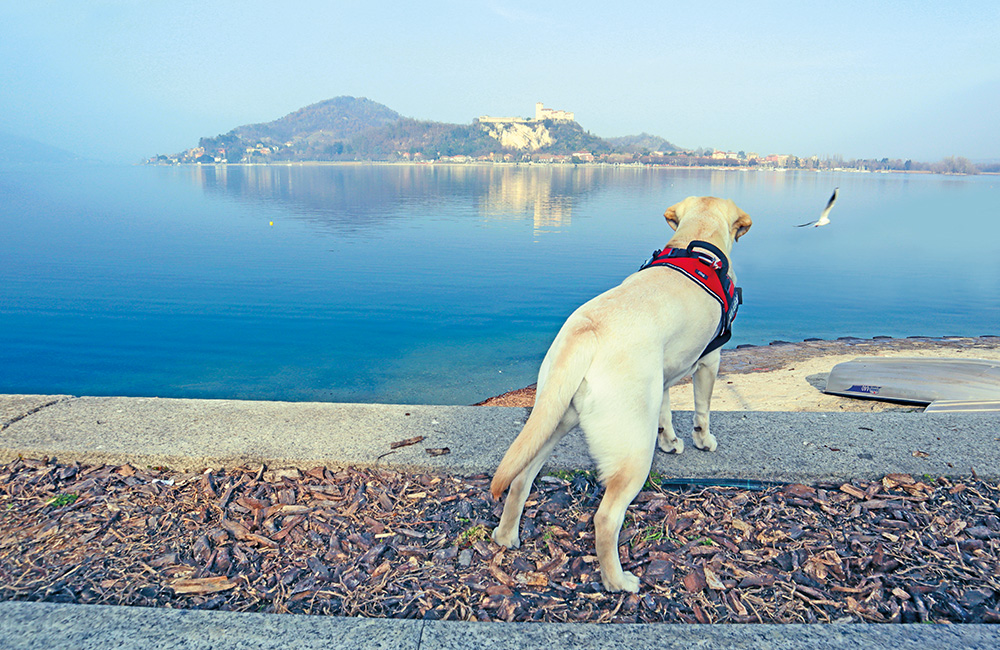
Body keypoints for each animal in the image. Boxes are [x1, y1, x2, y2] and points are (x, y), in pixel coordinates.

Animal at [492, 195, 752, 588]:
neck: (697, 242)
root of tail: (587, 332)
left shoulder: (661, 377)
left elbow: (665, 412)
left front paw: (670, 441)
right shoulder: (710, 360)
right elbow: (702, 409)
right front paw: (703, 441)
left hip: (553, 418)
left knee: (521, 478)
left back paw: (507, 536)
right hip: (633, 452)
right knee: (606, 518)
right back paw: (618, 582)